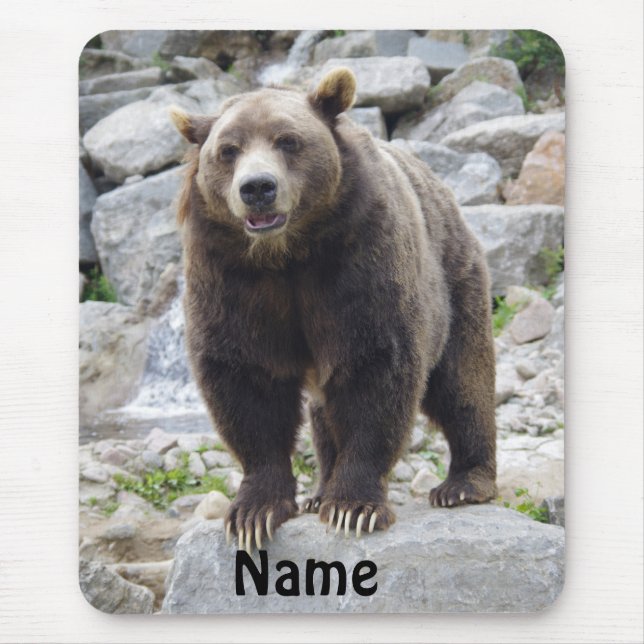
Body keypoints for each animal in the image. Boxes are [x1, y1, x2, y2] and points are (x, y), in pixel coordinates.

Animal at [170, 67, 497, 553]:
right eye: (228, 150)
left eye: (288, 140)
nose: (257, 188)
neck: (286, 254)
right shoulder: (229, 275)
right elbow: (245, 379)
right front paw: (254, 512)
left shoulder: (357, 257)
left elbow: (375, 367)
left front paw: (353, 507)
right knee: (324, 412)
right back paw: (318, 491)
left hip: (456, 280)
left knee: (463, 381)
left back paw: (464, 483)